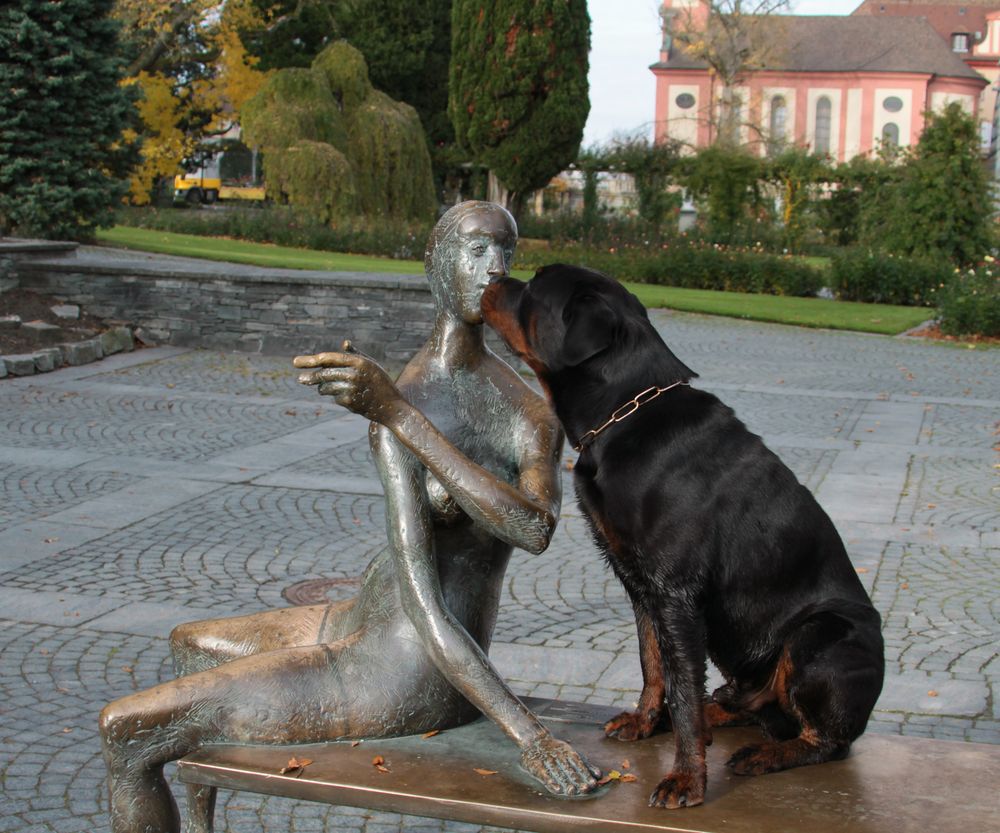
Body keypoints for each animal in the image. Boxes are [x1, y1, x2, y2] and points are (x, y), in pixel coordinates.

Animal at [484, 264, 884, 808]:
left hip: (823, 634)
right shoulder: (639, 584)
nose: (493, 276)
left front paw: (686, 778)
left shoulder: (676, 591)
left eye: (533, 288)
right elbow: (654, 664)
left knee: (828, 739)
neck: (625, 411)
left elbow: (681, 684)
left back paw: (764, 754)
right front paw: (646, 720)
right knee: (741, 701)